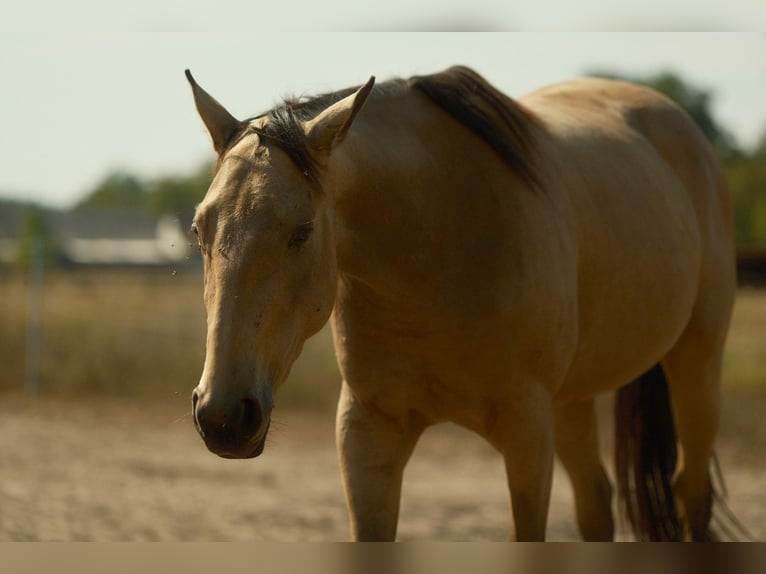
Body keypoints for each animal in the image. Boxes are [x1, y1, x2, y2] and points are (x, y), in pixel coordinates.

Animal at [185, 65, 738, 541]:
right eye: (198, 228)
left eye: (301, 231)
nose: (223, 417)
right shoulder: (367, 432)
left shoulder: (527, 436)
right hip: (573, 400)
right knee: (596, 504)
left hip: (697, 364)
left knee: (692, 492)